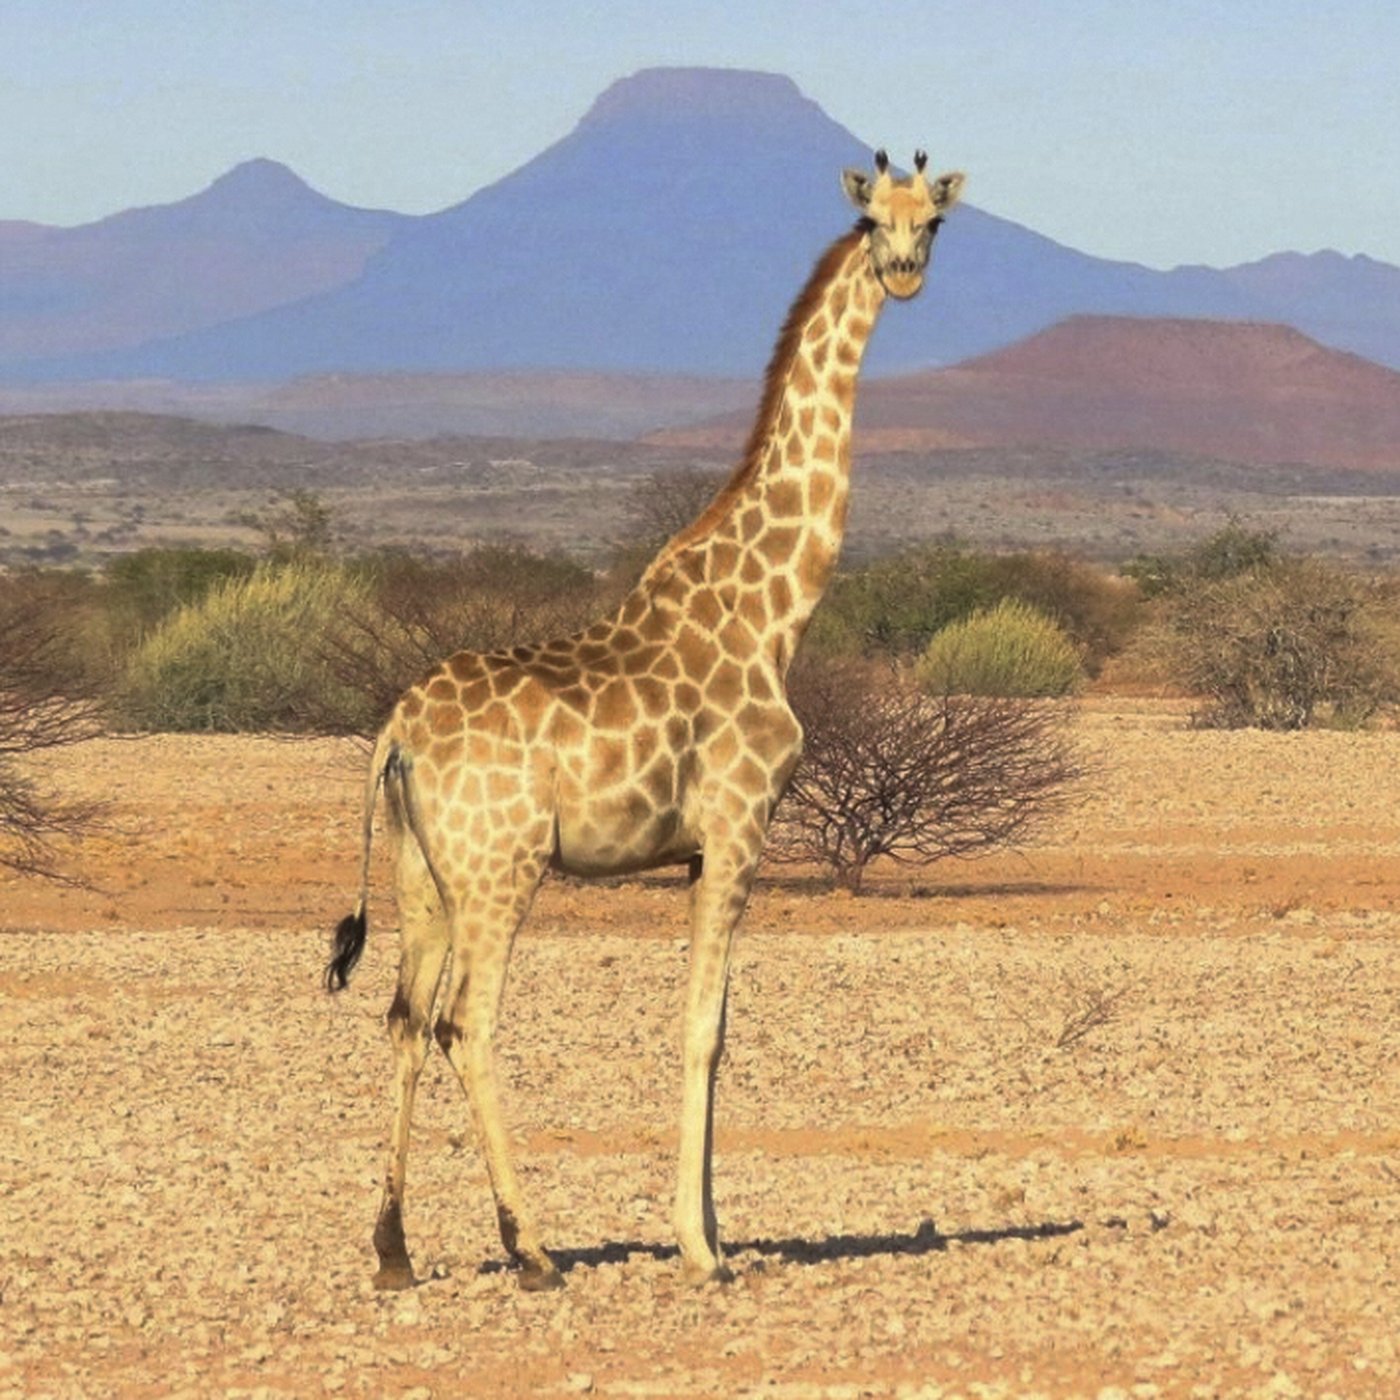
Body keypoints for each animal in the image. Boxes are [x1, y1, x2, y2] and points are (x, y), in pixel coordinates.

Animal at [327, 149, 966, 1291]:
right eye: (869, 218)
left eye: (933, 220)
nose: (900, 272)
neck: (772, 613)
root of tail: (395, 730)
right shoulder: (737, 827)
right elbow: (702, 1029)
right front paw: (702, 1247)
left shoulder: (704, 848)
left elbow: (719, 1024)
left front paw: (712, 1227)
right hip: (502, 866)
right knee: (466, 1024)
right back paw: (530, 1246)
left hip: (419, 871)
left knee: (402, 1018)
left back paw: (395, 1250)